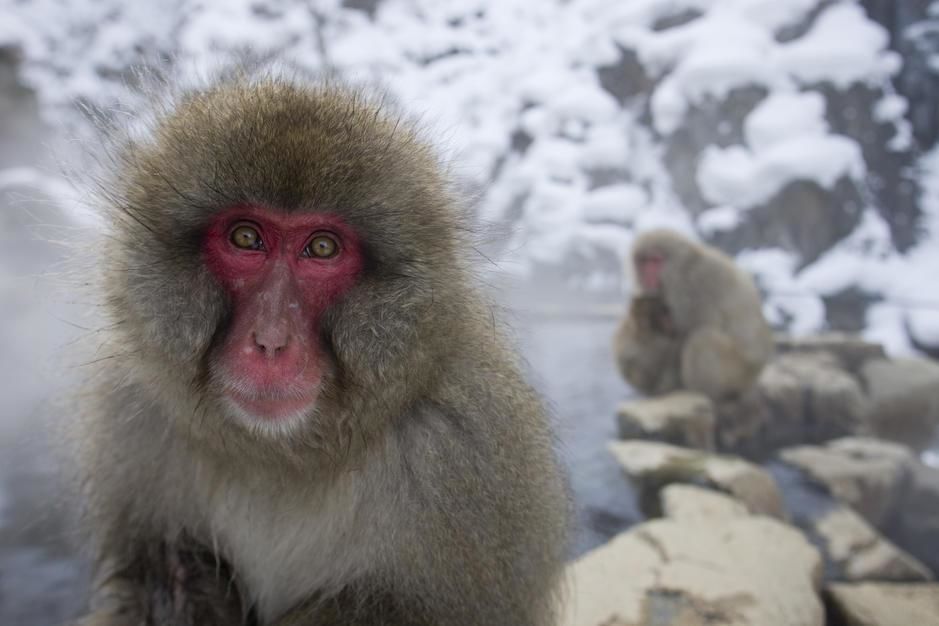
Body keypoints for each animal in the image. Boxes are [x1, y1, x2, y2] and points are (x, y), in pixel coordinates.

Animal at [70, 74, 568, 624]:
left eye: (322, 248)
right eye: (246, 238)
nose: (270, 340)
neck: (284, 457)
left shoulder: (469, 451)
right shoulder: (131, 418)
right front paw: (178, 589)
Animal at [612, 227, 776, 398]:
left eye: (655, 261)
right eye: (643, 261)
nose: (646, 275)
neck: (682, 269)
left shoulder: (698, 282)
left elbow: (684, 337)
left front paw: (665, 386)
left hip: (739, 371)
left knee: (702, 339)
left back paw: (706, 391)